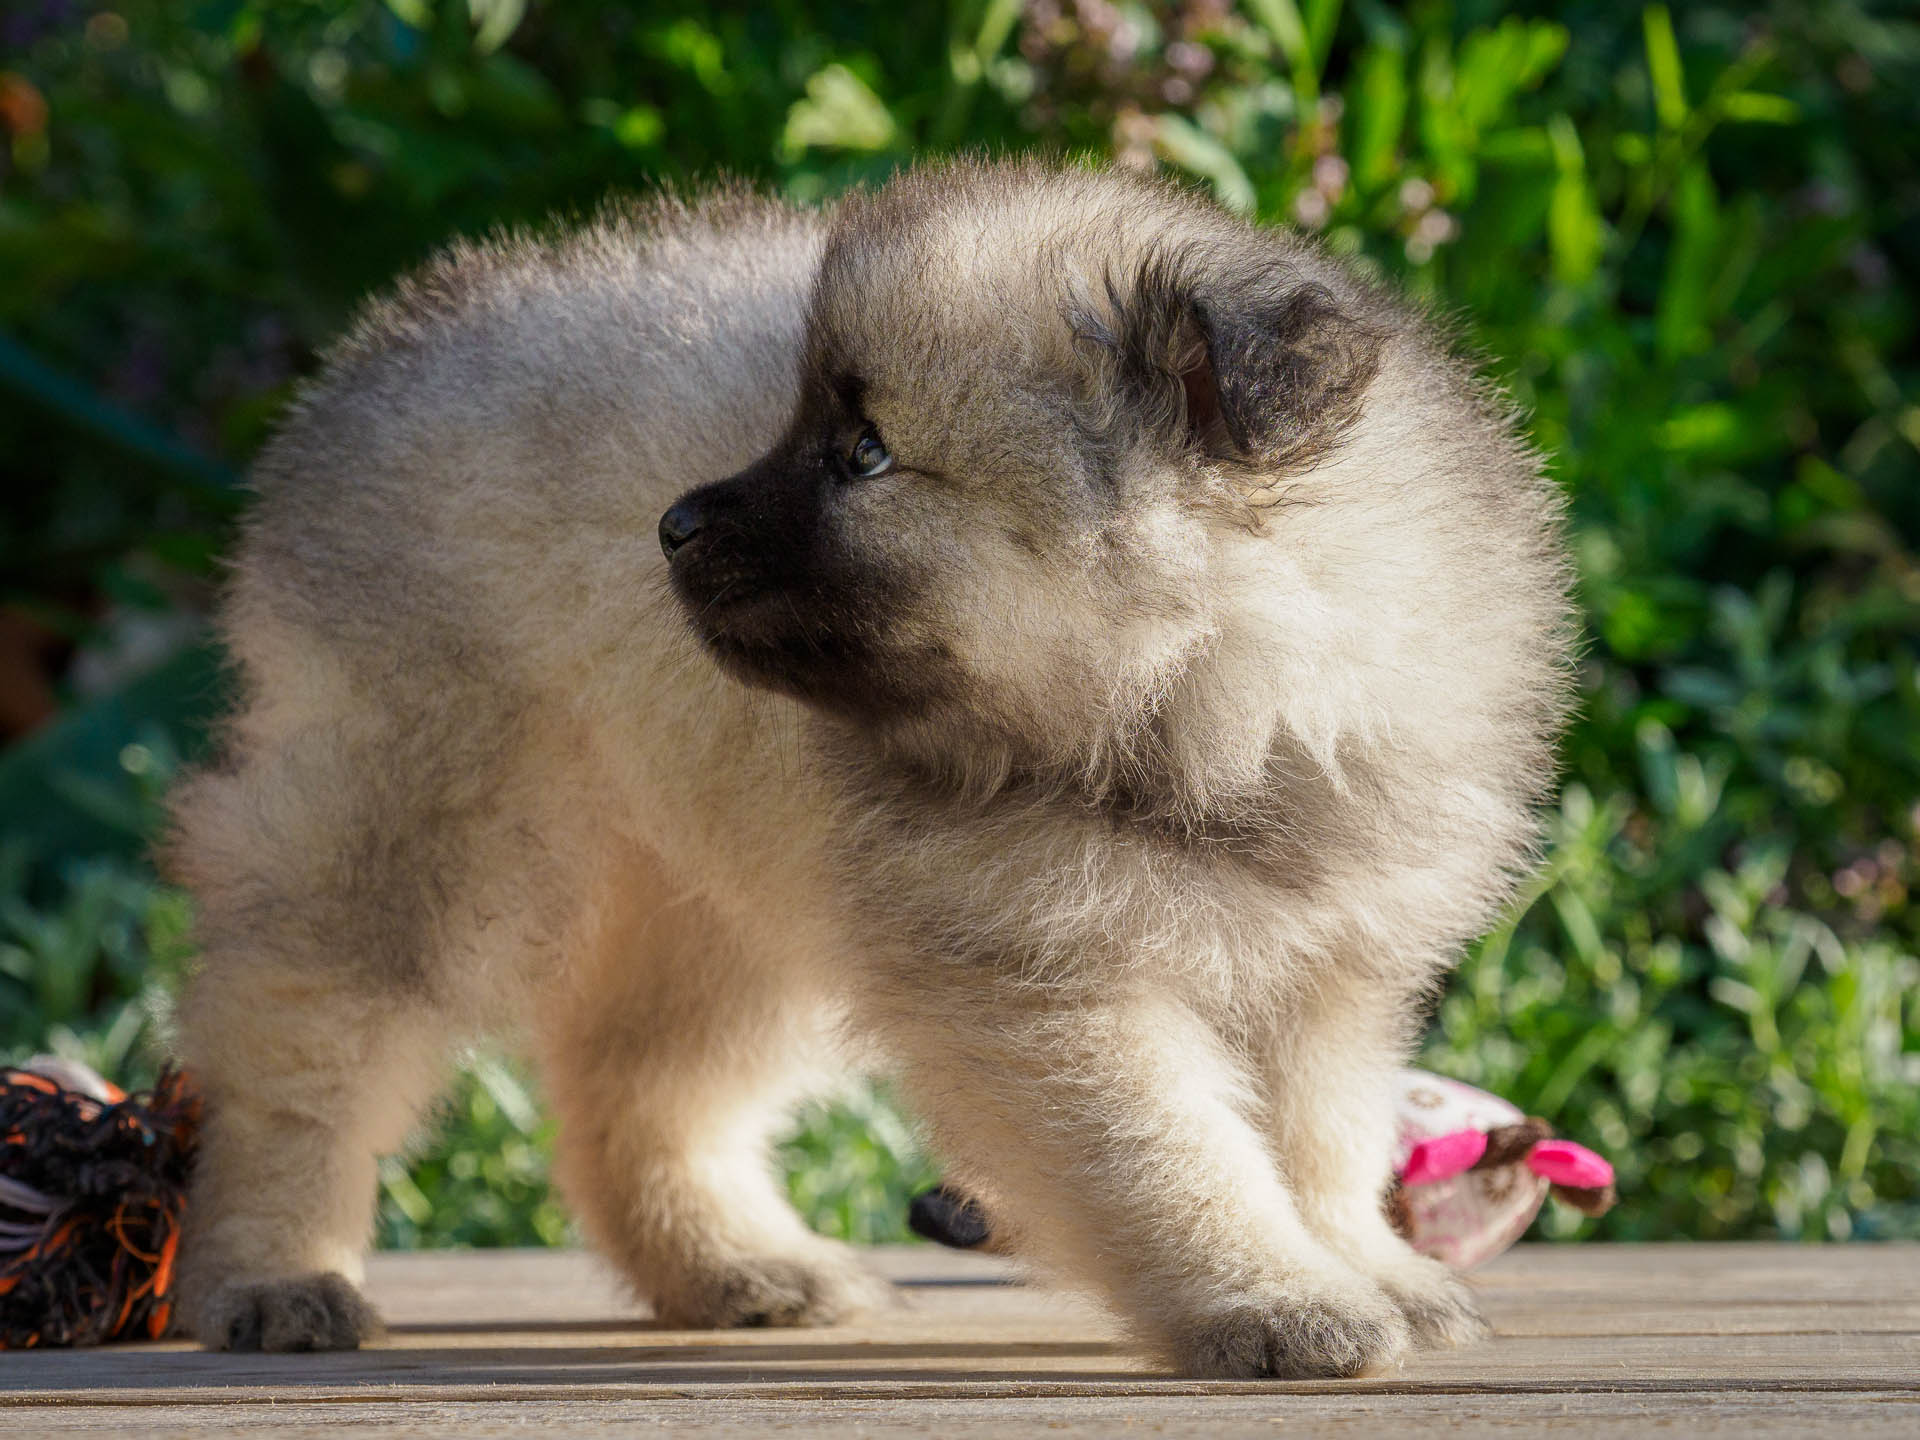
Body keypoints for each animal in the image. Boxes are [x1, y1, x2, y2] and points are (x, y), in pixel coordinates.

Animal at [165, 155, 1574, 1374]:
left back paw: (736, 1263)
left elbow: (1322, 1143)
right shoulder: (1053, 978)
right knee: (299, 1048)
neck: (1224, 716)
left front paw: (1360, 1268)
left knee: (636, 1082)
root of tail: (386, 346)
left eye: (866, 453)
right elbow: (1179, 1153)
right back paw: (276, 1270)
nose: (671, 525)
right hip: (418, 821)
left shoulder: (1329, 970)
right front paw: (1272, 1296)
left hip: (725, 900)